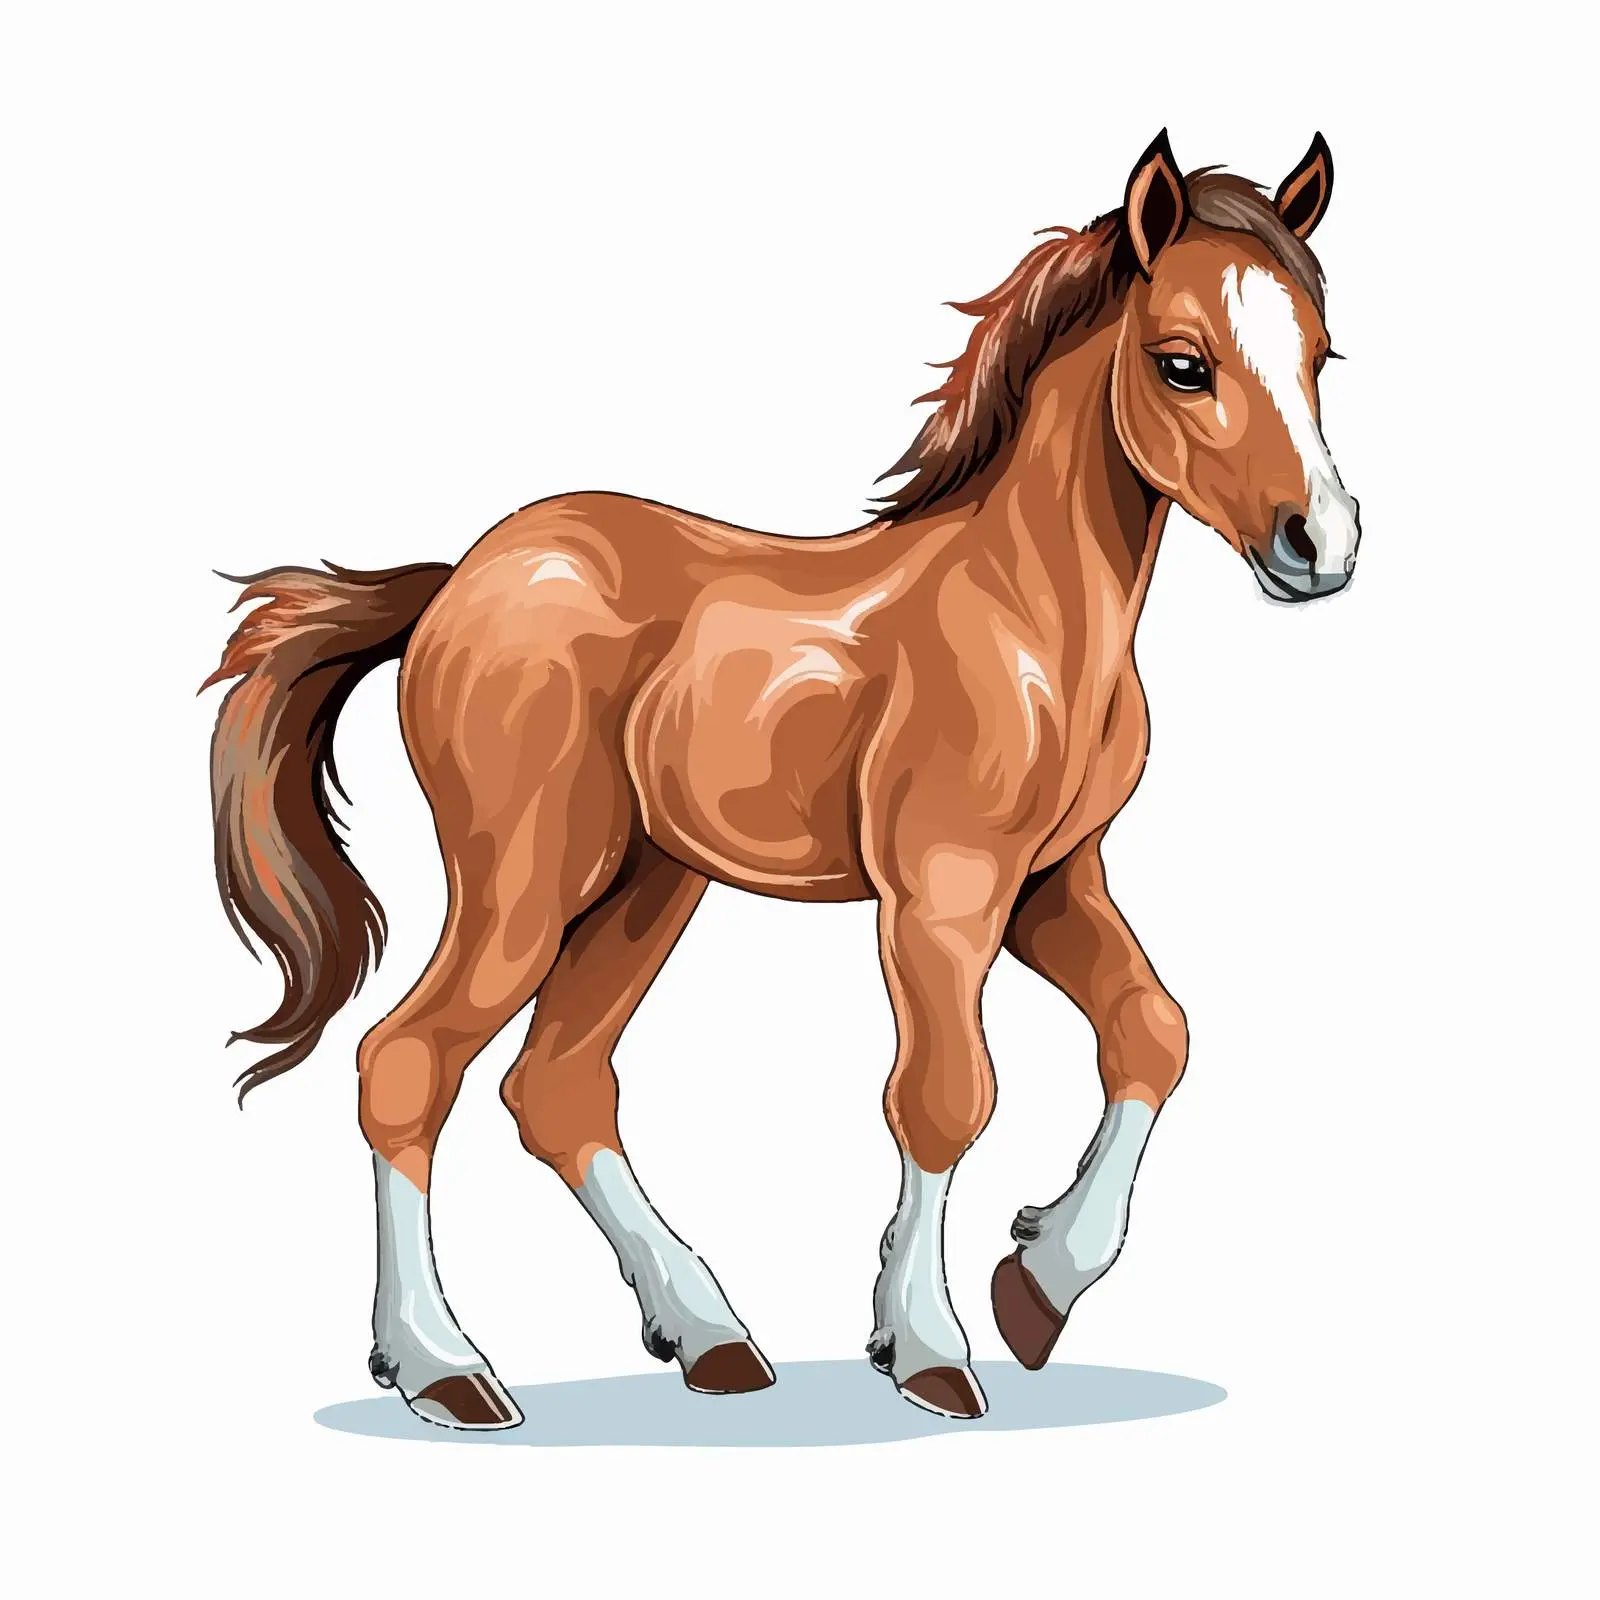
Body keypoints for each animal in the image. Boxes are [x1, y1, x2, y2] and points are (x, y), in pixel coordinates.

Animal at [206, 130, 1358, 1429]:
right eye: (1181, 364)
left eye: (1320, 355)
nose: (1320, 545)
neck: (1024, 616)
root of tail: (454, 581)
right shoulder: (940, 892)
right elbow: (945, 1094)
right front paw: (929, 1347)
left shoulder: (1052, 881)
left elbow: (1151, 1032)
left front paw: (1037, 1284)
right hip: (528, 877)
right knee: (406, 1063)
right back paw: (443, 1365)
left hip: (648, 885)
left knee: (557, 1084)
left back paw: (707, 1334)